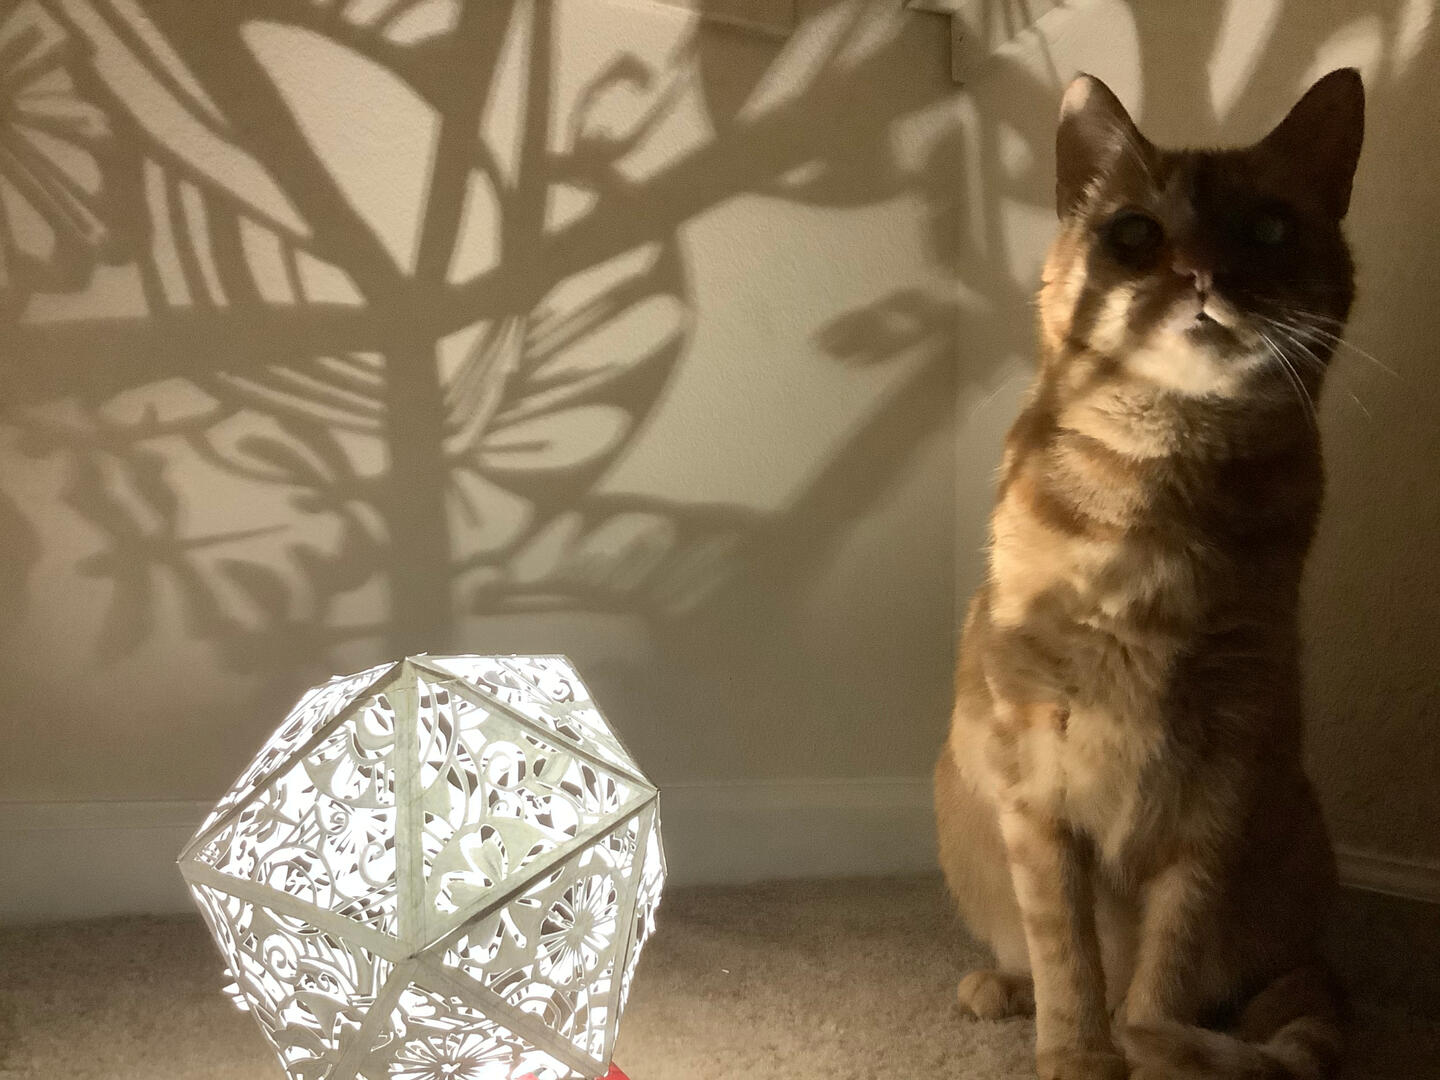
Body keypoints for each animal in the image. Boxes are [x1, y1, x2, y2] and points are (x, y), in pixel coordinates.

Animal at [934, 69, 1364, 1080]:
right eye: (1135, 234)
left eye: (1268, 228)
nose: (1201, 275)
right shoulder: (1035, 779)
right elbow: (1067, 950)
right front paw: (1081, 1053)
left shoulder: (1224, 772)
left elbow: (1168, 961)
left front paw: (1152, 1045)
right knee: (1027, 952)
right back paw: (999, 988)